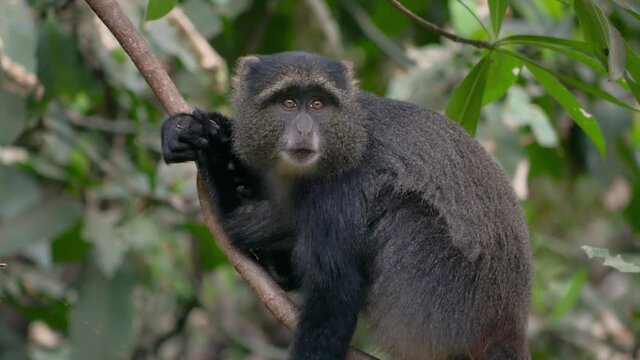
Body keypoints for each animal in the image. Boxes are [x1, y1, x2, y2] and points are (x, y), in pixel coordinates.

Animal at [162, 51, 532, 360]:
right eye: (288, 102)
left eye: (318, 104)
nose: (303, 129)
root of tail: (509, 325)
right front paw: (202, 133)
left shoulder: (340, 190)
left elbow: (334, 289)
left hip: (437, 303)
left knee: (400, 209)